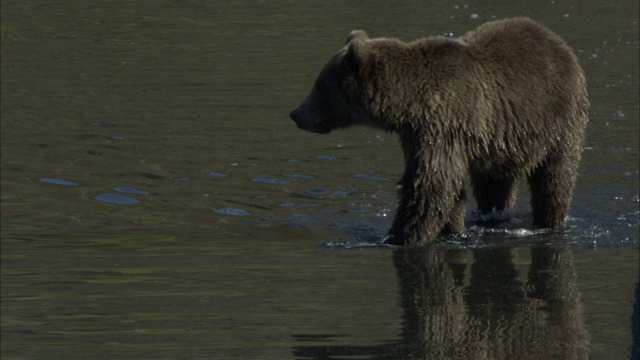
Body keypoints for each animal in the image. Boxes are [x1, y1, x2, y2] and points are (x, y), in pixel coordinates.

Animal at [290, 18, 592, 246]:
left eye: (319, 84)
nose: (296, 114)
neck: (409, 105)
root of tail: (558, 42)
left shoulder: (443, 127)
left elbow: (431, 185)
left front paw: (400, 236)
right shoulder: (418, 136)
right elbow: (445, 187)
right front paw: (452, 228)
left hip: (560, 122)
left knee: (555, 178)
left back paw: (549, 221)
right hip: (500, 140)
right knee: (492, 183)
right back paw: (493, 216)